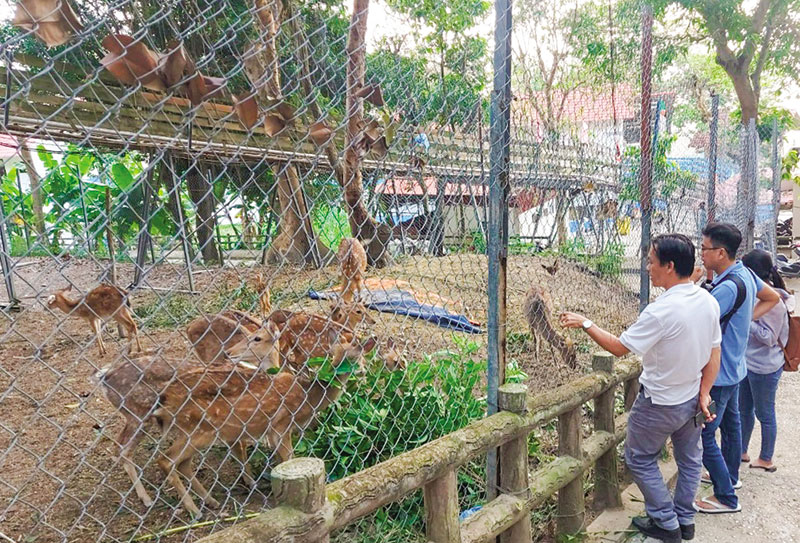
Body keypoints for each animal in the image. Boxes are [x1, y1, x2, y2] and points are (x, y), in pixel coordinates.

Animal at [155, 336, 376, 520]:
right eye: (332, 354)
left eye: (356, 357)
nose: (362, 371)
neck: (307, 398)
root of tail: (163, 400)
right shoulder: (281, 425)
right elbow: (289, 458)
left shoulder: (274, 431)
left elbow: (279, 460)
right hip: (198, 428)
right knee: (166, 459)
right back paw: (195, 510)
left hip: (193, 430)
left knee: (182, 463)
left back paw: (211, 501)